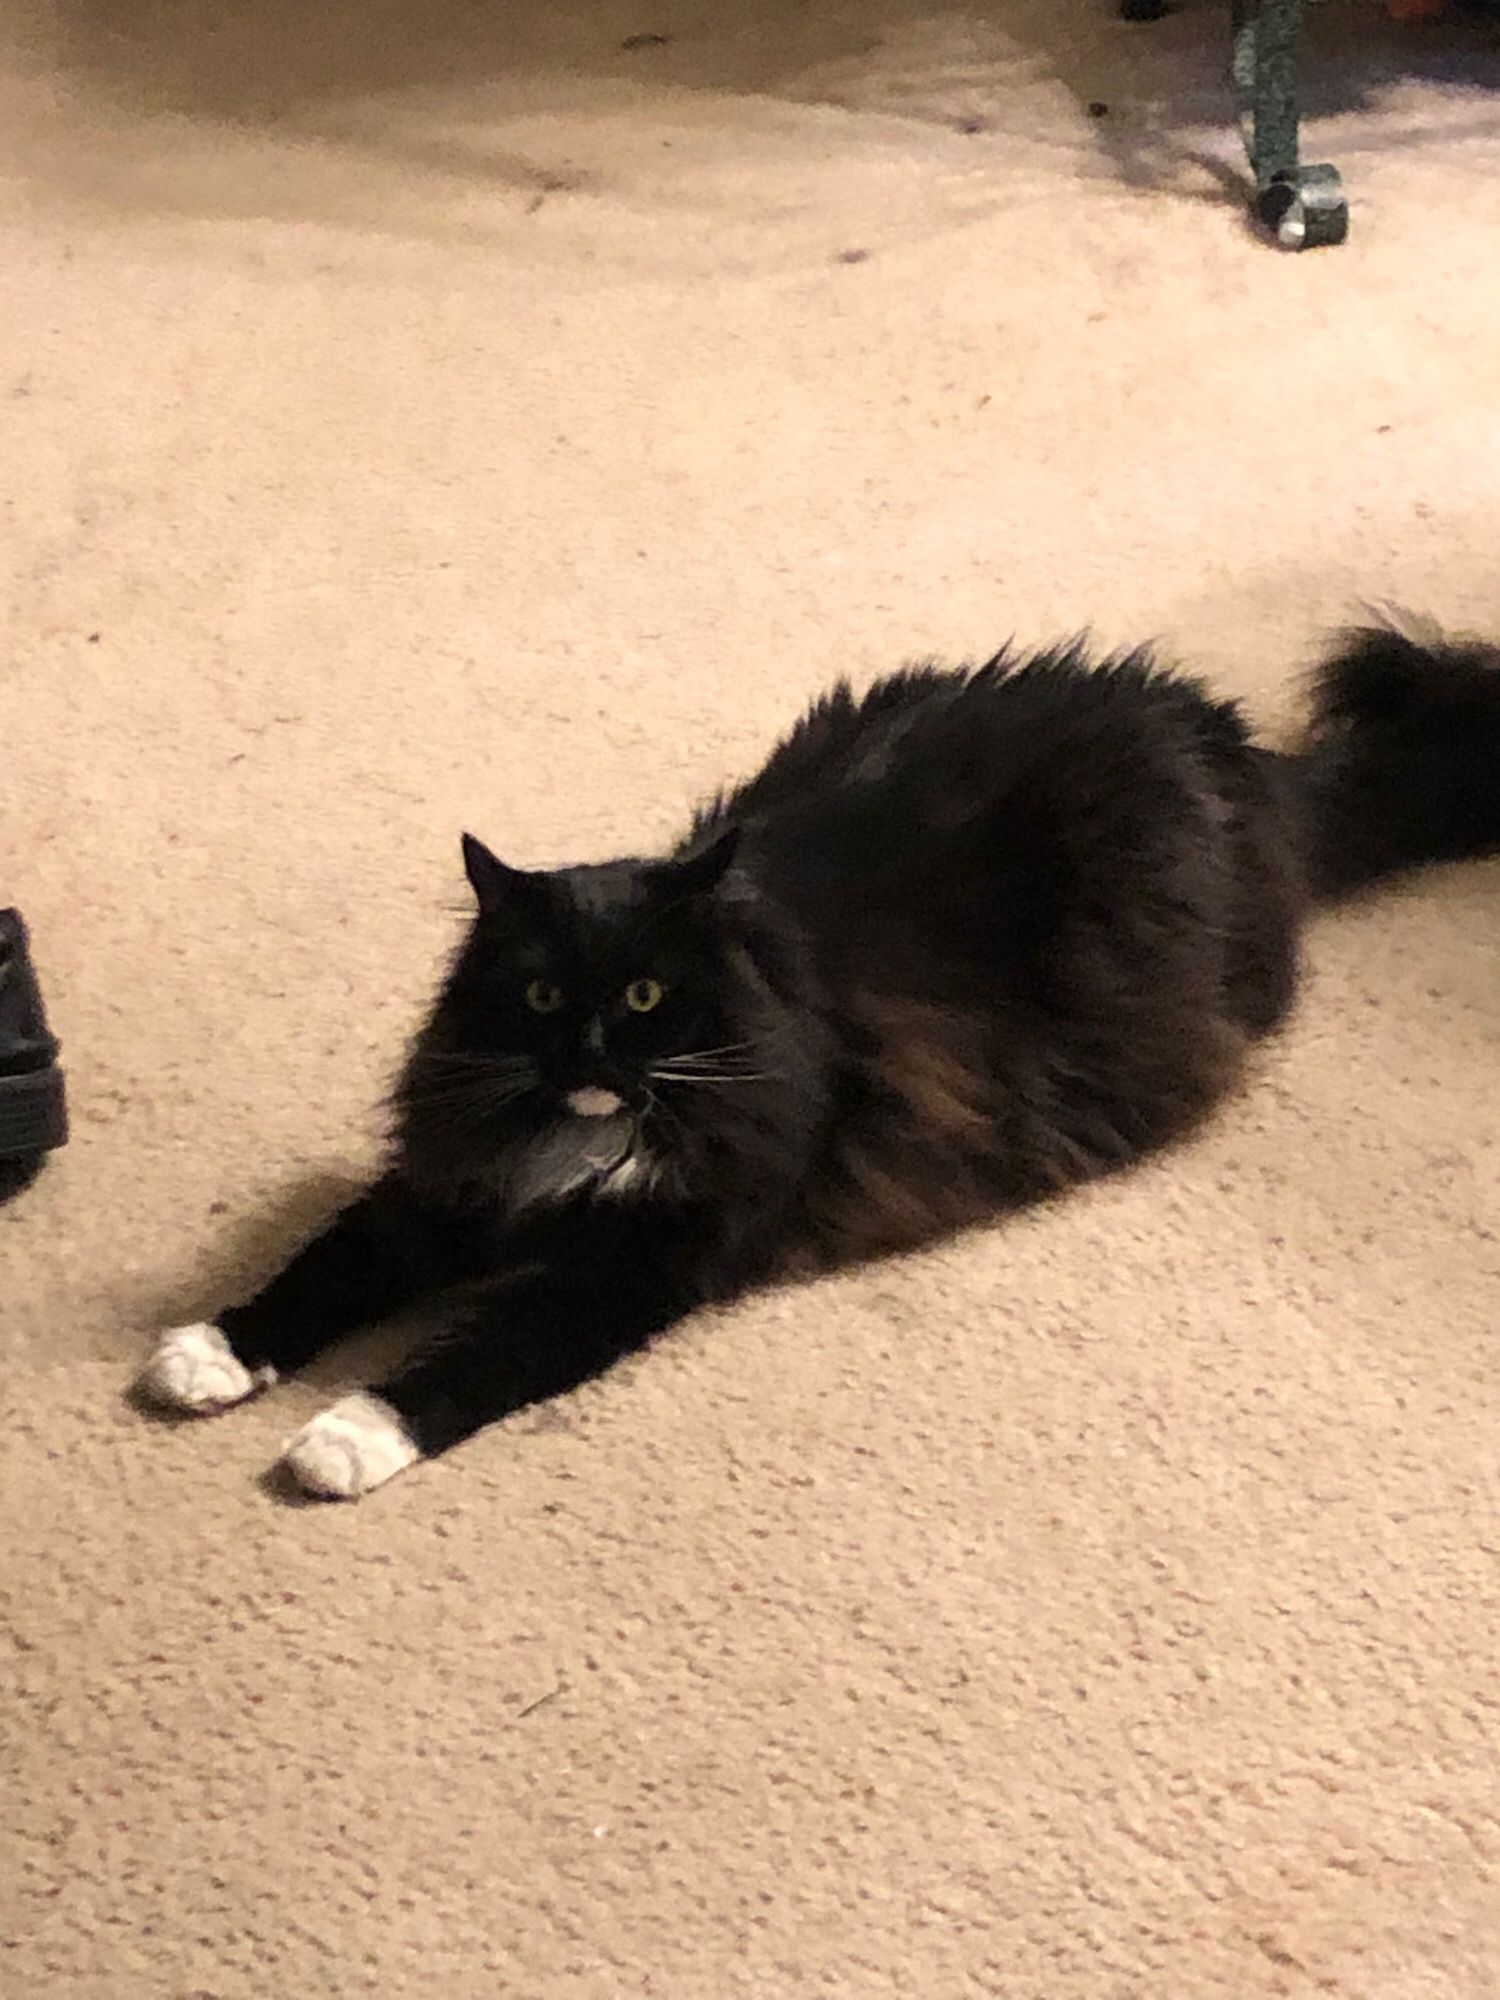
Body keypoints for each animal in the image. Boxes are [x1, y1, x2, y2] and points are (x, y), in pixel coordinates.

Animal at [138, 624, 1500, 1504]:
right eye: (540, 993)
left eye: (644, 994)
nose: (589, 1049)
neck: (587, 1140)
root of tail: (1246, 757)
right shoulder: (447, 1186)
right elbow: (320, 1269)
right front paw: (203, 1356)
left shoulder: (638, 1265)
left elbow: (467, 1361)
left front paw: (336, 1442)